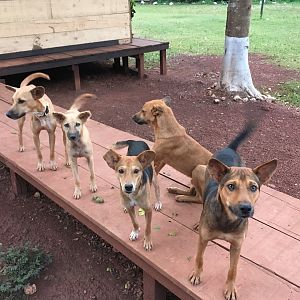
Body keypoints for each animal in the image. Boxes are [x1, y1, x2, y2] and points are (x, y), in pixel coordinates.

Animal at [189, 121, 278, 300]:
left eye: (253, 187)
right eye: (231, 186)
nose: (246, 208)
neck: (227, 220)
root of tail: (230, 148)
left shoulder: (236, 246)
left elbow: (233, 269)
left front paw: (230, 288)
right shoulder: (203, 239)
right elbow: (199, 258)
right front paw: (197, 274)